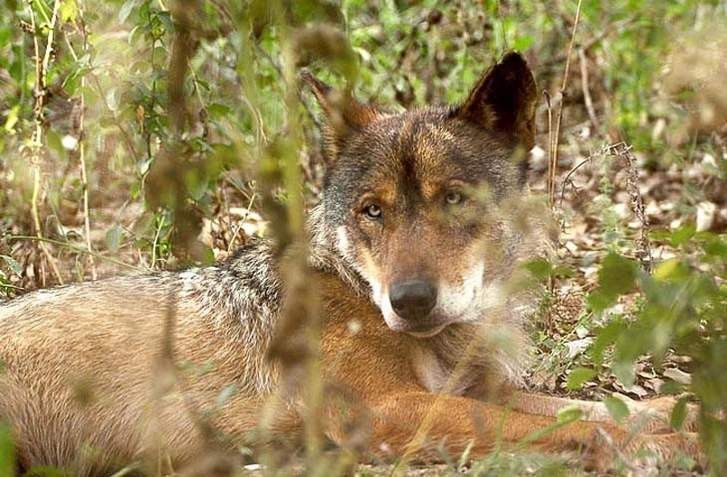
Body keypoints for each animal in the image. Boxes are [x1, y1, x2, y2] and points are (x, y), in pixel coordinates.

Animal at [0, 52, 700, 472]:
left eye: (454, 199)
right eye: (373, 211)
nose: (410, 301)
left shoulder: (472, 389)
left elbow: (585, 407)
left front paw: (680, 412)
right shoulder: (389, 409)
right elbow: (580, 428)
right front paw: (670, 445)